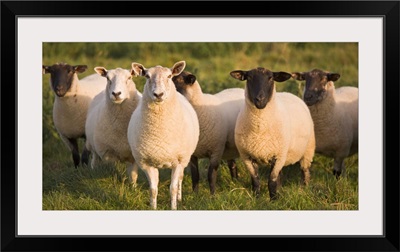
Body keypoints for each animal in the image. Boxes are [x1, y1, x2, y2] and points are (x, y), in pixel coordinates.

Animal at [128, 60, 200, 210]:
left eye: (169, 76)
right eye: (147, 76)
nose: (158, 94)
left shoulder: (178, 161)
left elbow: (173, 188)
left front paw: (174, 206)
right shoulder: (147, 164)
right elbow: (153, 189)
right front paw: (153, 207)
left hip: (184, 159)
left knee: (180, 180)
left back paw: (179, 198)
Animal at [231, 67, 316, 201]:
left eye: (270, 78)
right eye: (249, 77)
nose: (260, 99)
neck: (259, 130)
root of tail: (288, 93)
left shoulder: (279, 155)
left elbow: (271, 181)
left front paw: (273, 200)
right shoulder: (247, 156)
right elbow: (256, 180)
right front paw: (257, 199)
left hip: (307, 149)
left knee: (305, 171)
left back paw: (305, 187)